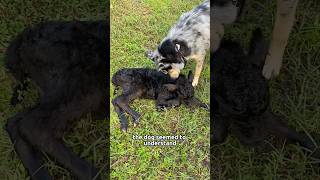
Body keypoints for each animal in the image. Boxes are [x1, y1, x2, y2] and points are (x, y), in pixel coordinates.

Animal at [211, 28, 318, 158]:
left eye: (265, 104)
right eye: (235, 109)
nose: (258, 139)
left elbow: (283, 128)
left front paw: (312, 146)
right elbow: (219, 132)